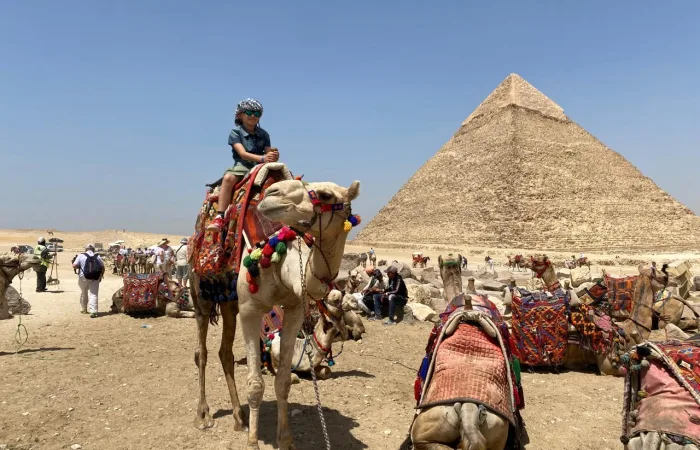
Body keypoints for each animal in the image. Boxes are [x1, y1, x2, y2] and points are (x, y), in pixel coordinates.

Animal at [189, 177, 360, 450]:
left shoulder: (294, 310)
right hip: (201, 293)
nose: (273, 193)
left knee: (225, 353)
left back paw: (239, 417)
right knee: (201, 352)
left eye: (325, 195)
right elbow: (256, 384)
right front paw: (252, 443)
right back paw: (204, 415)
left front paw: (286, 440)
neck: (282, 264)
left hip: (230, 303)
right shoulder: (250, 309)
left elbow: (283, 382)